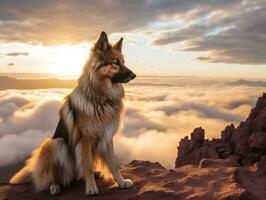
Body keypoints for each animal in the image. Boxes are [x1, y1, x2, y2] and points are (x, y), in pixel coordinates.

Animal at [9, 31, 136, 195]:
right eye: (115, 63)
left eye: (123, 62)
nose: (134, 75)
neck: (102, 98)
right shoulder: (86, 139)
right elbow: (88, 166)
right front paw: (91, 188)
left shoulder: (107, 138)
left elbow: (113, 163)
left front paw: (121, 181)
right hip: (54, 144)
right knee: (54, 176)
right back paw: (55, 186)